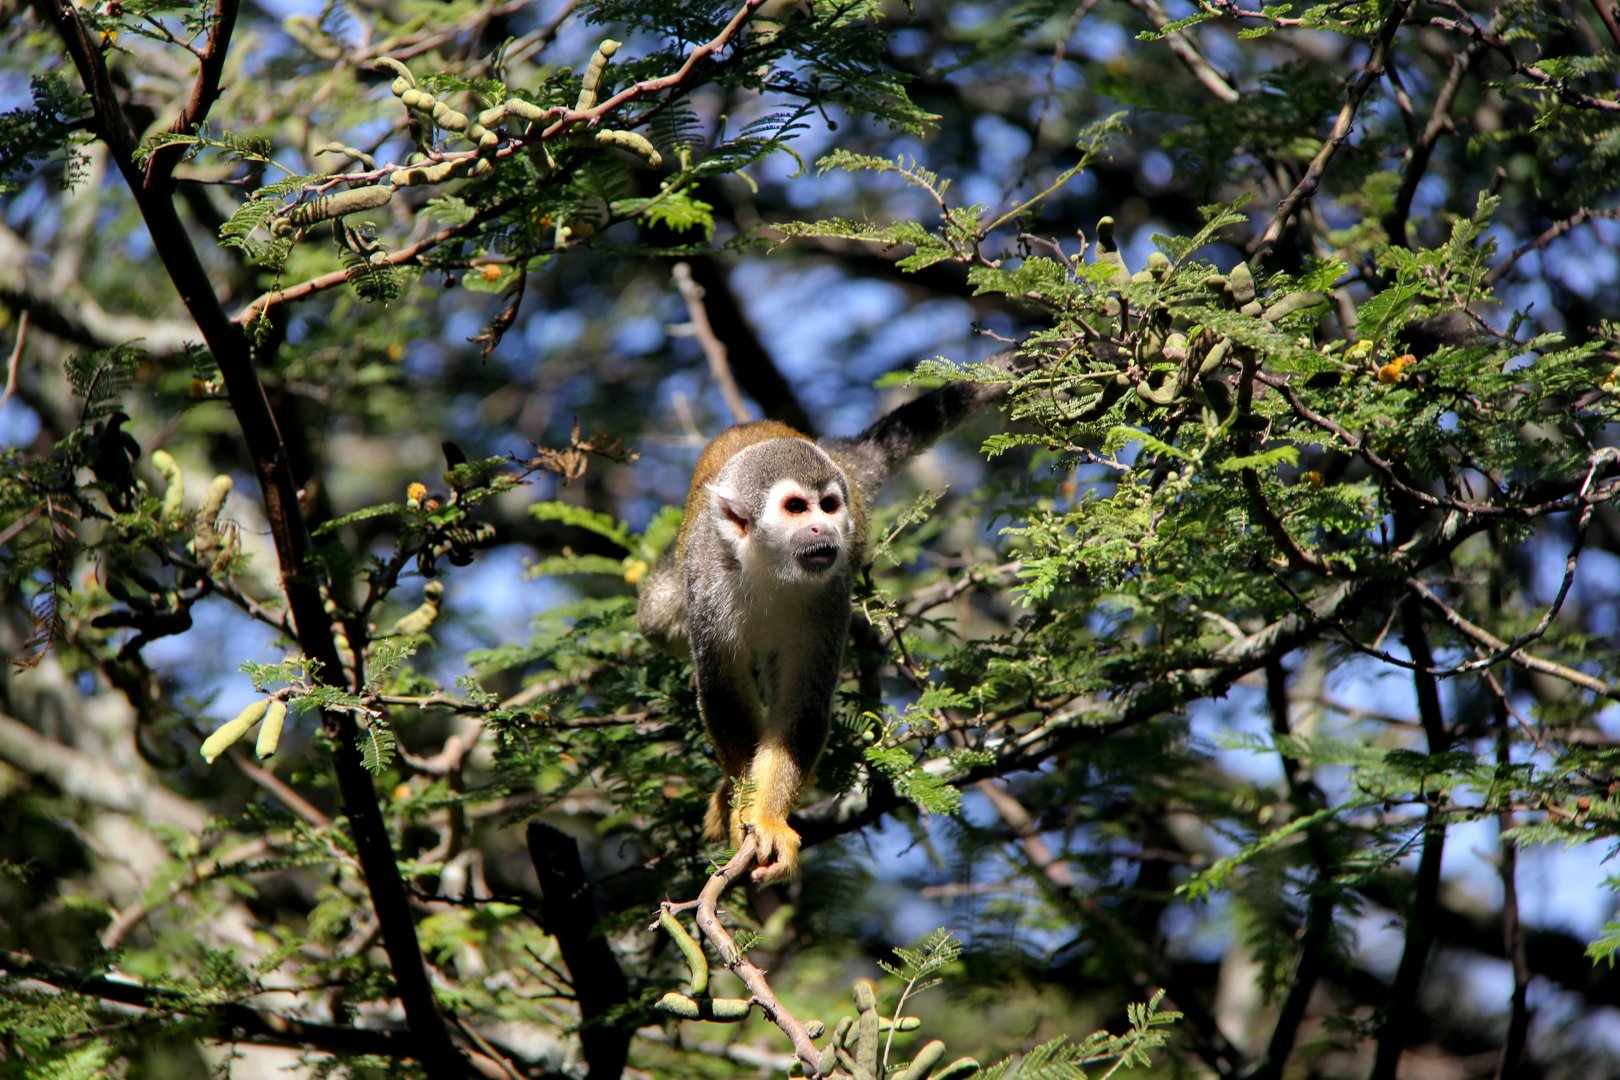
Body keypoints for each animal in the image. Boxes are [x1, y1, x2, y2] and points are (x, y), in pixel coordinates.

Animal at [637, 356, 1022, 883]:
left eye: (828, 506)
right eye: (797, 508)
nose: (823, 528)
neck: (770, 569)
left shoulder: (831, 590)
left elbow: (805, 705)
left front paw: (766, 817)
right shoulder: (707, 577)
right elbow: (721, 692)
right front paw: (742, 804)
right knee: (658, 621)